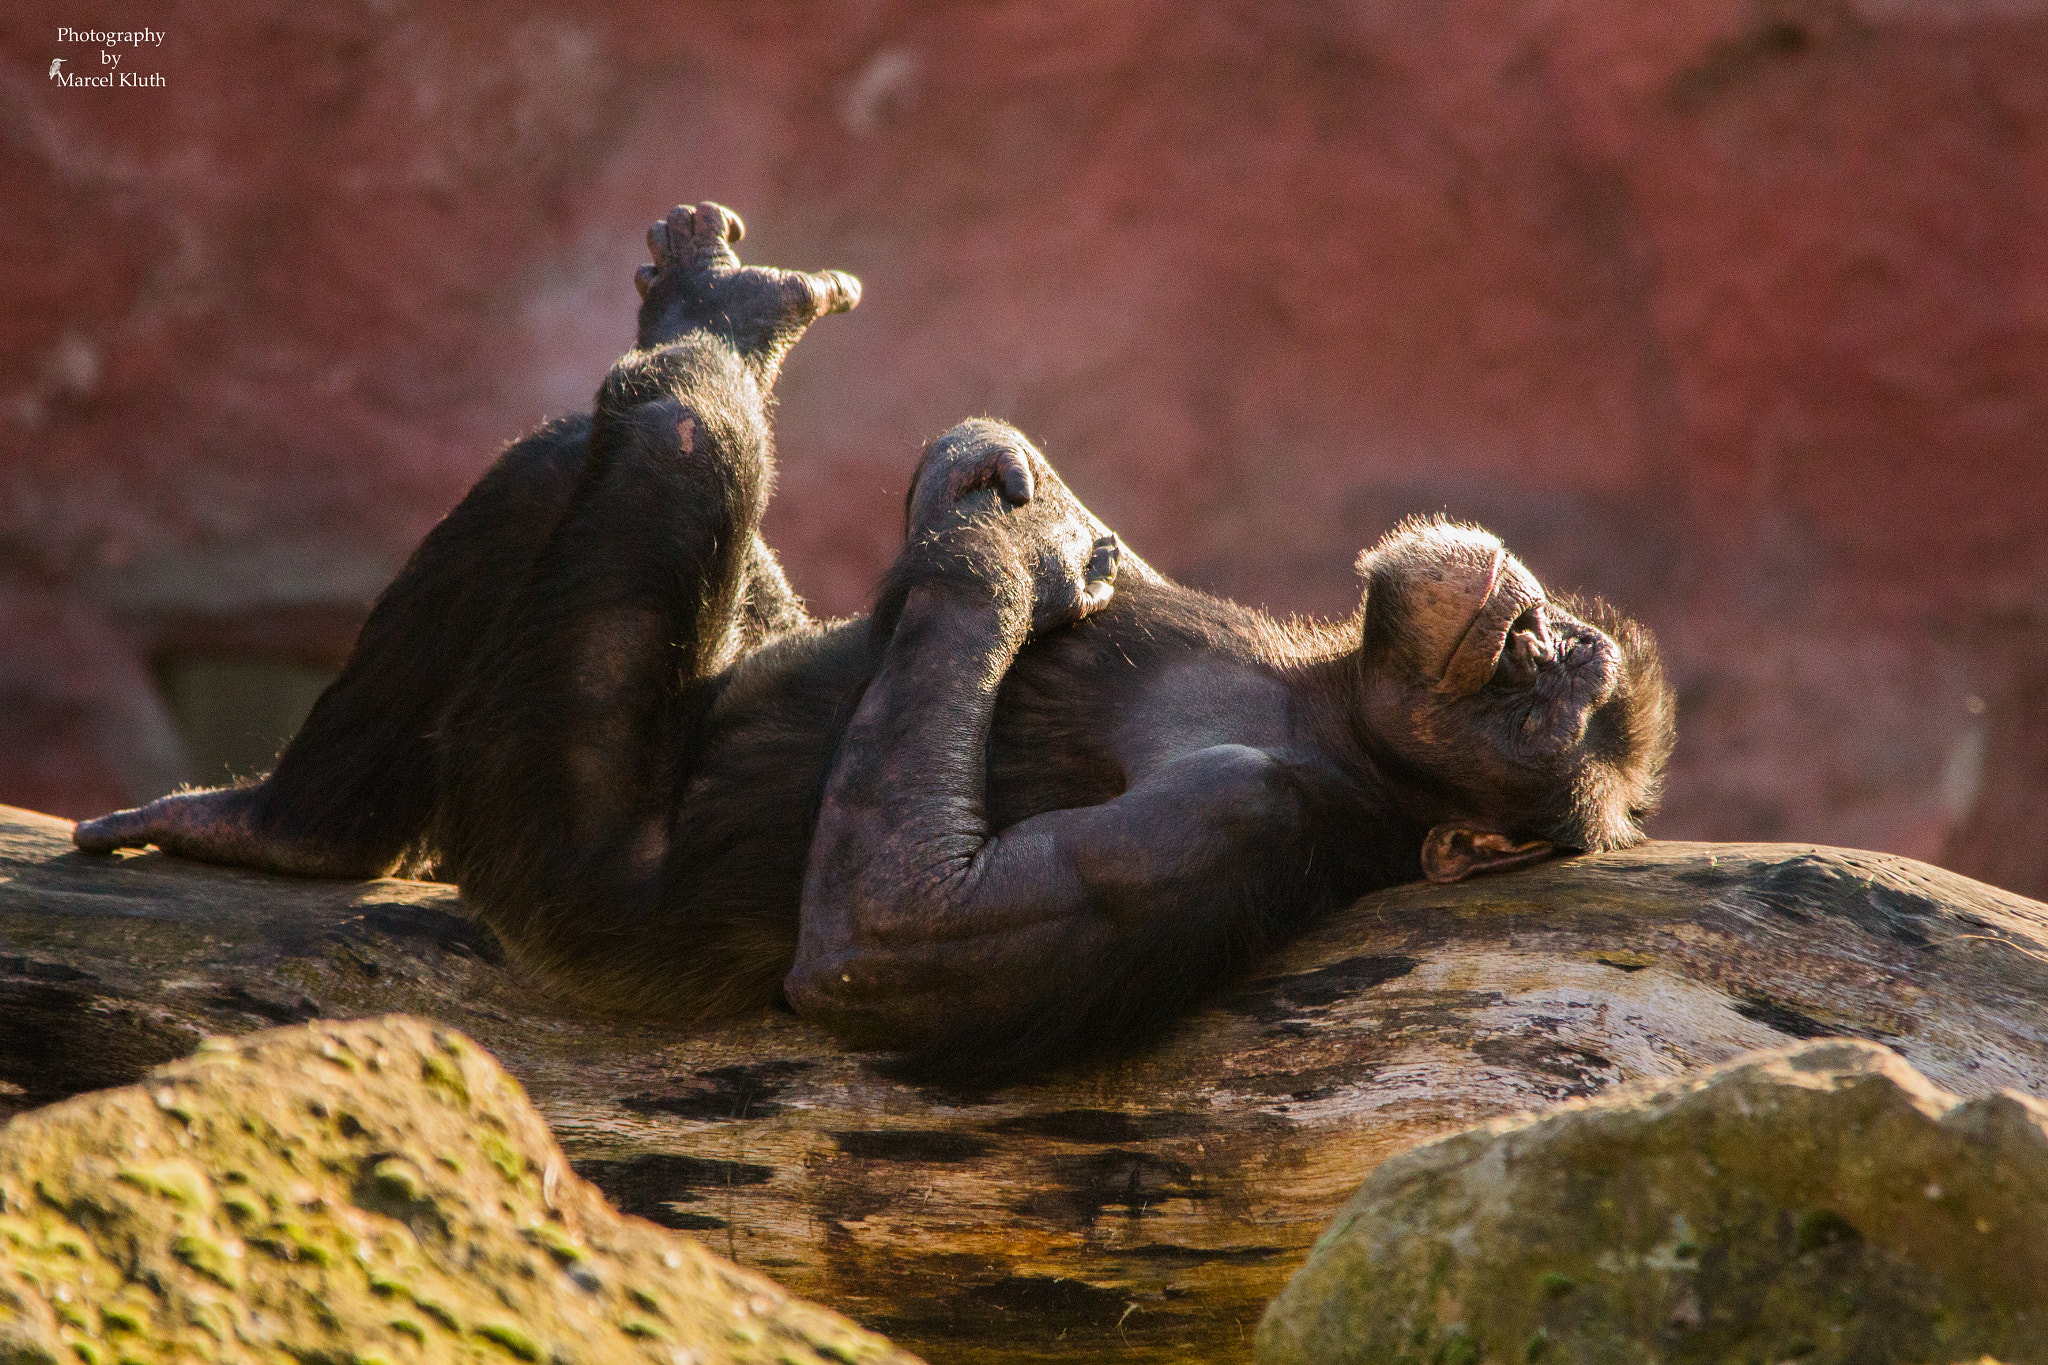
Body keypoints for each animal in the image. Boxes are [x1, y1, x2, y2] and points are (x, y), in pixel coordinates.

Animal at [75, 203, 1676, 1079]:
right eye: (1551, 657)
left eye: (1535, 698)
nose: (1525, 623)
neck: (1323, 699)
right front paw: (1016, 496)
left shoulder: (1247, 814)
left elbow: (893, 940)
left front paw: (1012, 551)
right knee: (553, 464)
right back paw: (274, 822)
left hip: (554, 853)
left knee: (674, 441)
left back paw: (719, 333)